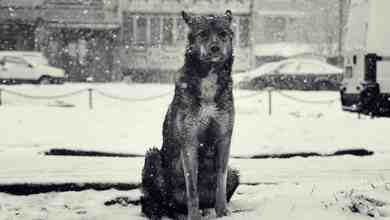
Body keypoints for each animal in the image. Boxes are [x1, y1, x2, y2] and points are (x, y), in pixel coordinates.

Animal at [140, 10, 238, 220]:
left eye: (223, 34)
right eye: (203, 34)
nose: (215, 48)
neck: (209, 77)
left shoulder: (224, 139)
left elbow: (220, 181)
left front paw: (222, 212)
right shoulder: (189, 141)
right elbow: (191, 187)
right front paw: (194, 216)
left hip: (235, 173)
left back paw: (206, 210)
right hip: (153, 157)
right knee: (155, 201)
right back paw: (164, 211)